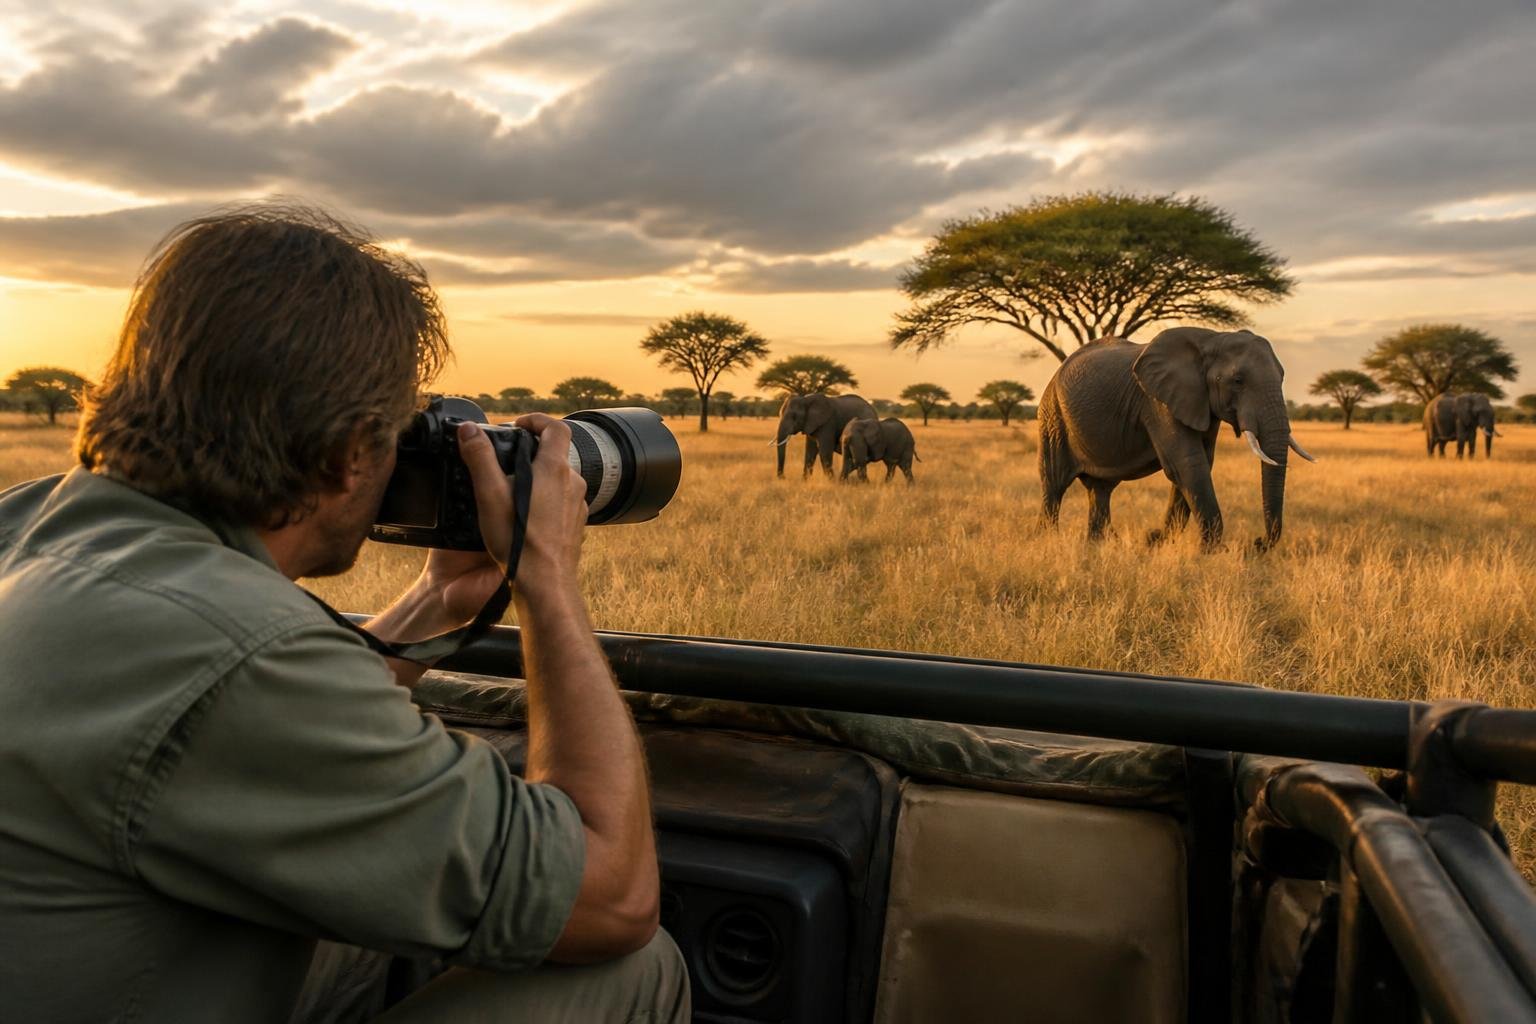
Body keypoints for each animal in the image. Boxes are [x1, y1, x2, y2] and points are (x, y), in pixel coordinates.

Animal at [1037, 327, 1316, 550]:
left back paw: (1097, 546)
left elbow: (1198, 464)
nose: (1258, 542)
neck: (1211, 338)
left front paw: (1158, 542)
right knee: (1054, 483)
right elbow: (1188, 464)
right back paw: (1049, 542)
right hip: (1053, 416)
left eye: (1282, 377)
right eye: (1238, 381)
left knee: (1100, 489)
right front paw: (1209, 553)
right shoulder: (1157, 403)